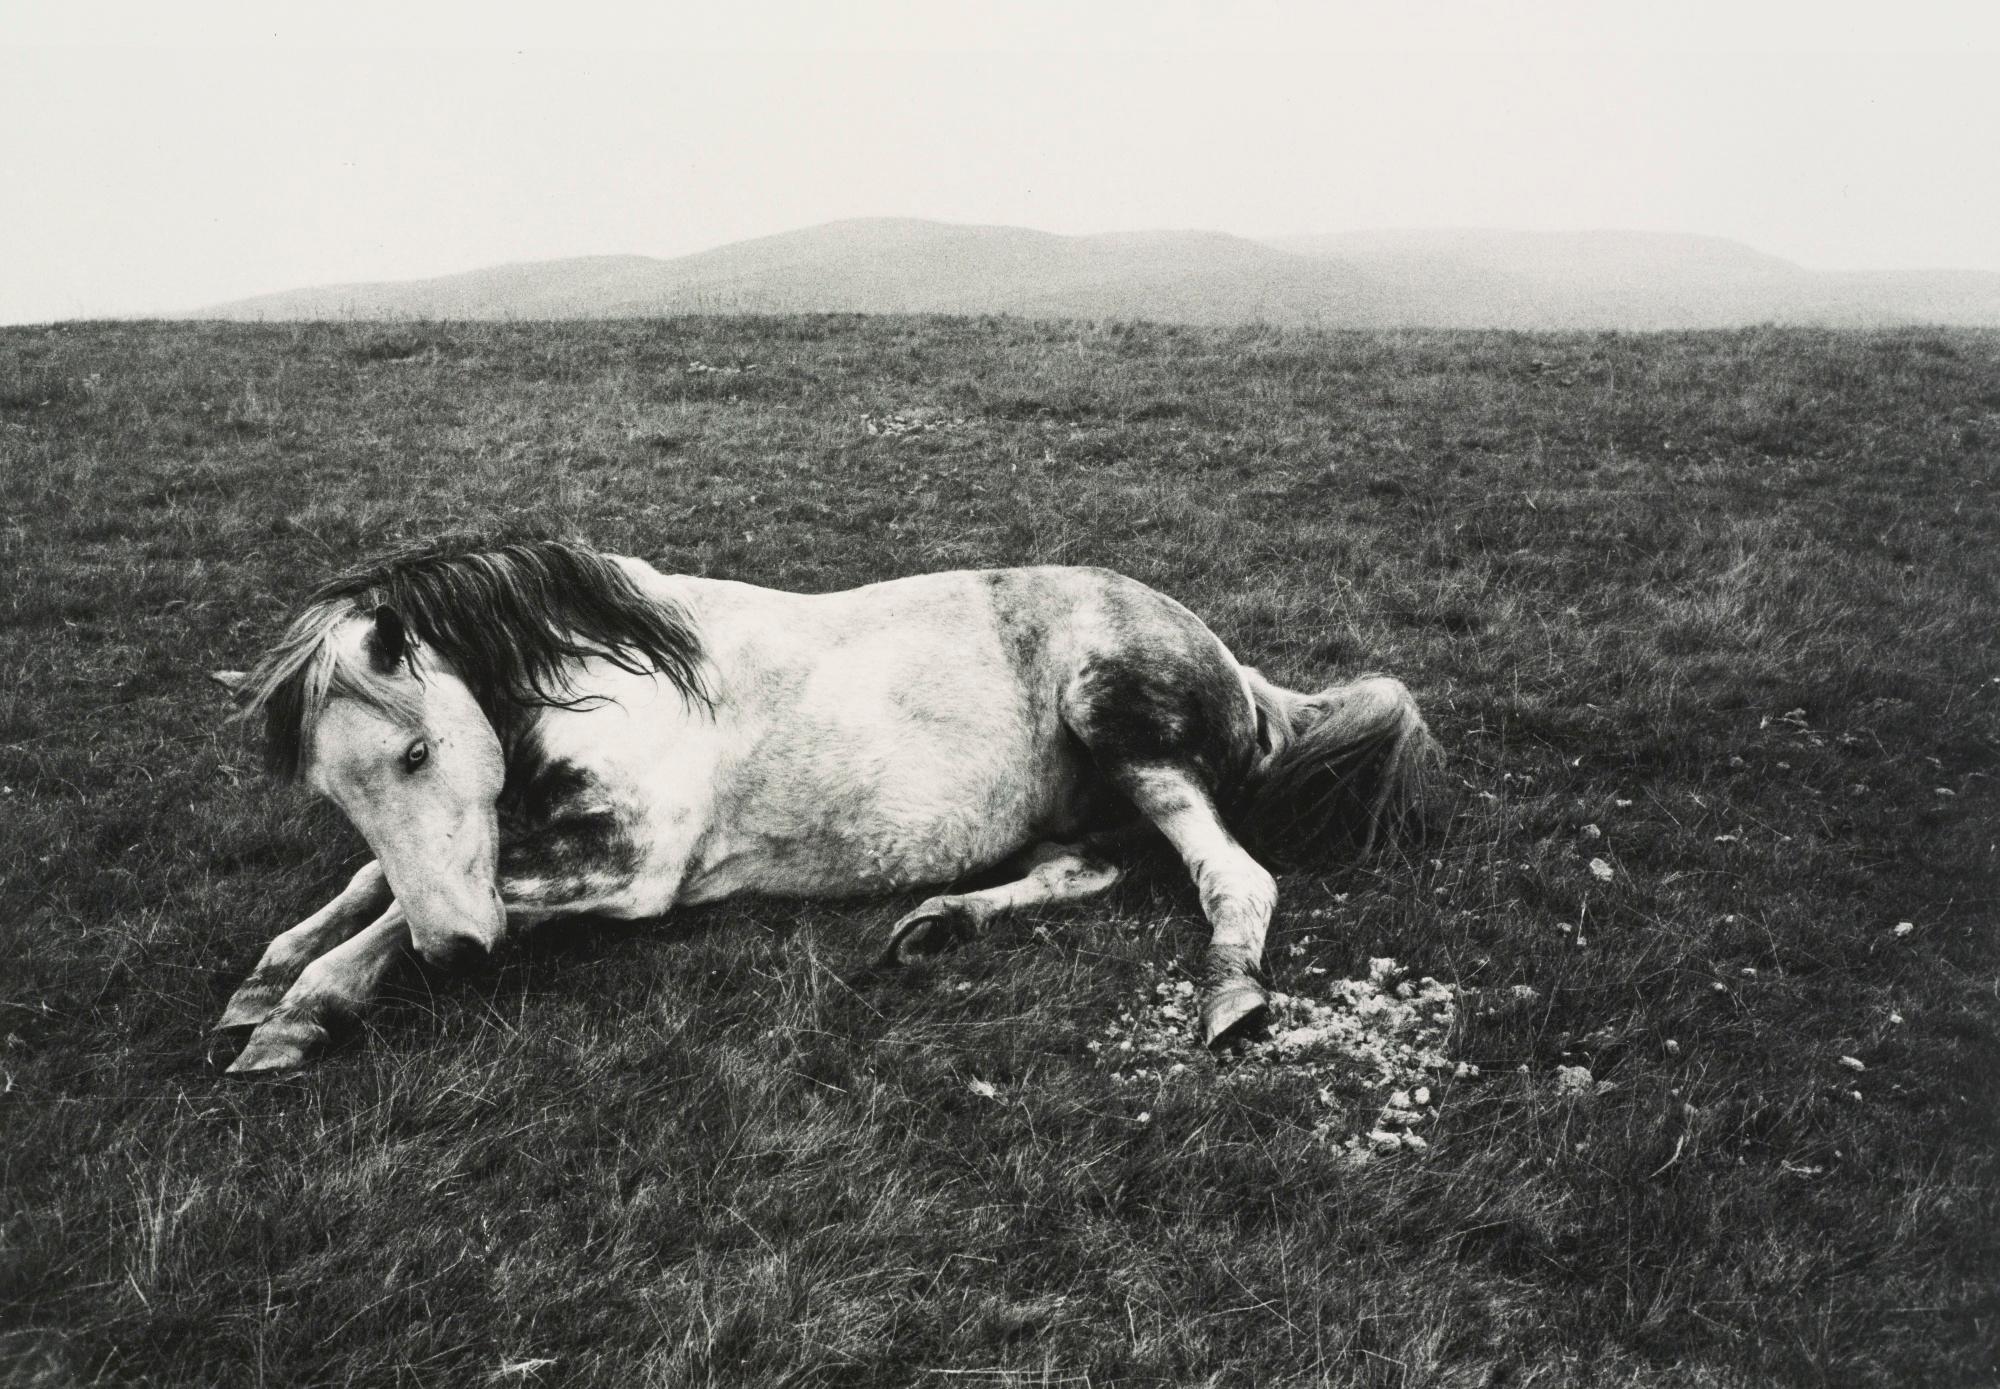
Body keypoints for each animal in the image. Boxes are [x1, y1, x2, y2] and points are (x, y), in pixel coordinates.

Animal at [208, 537, 1440, 1073]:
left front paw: (302, 1010)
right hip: (1084, 807)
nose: (459, 953)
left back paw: (1233, 999)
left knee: (1231, 874)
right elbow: (373, 879)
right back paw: (936, 922)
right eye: (336, 788)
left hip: (1131, 739)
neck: (624, 677)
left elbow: (414, 907)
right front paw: (271, 973)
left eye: (417, 750)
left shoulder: (627, 867)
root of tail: (1236, 667)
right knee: (1086, 867)